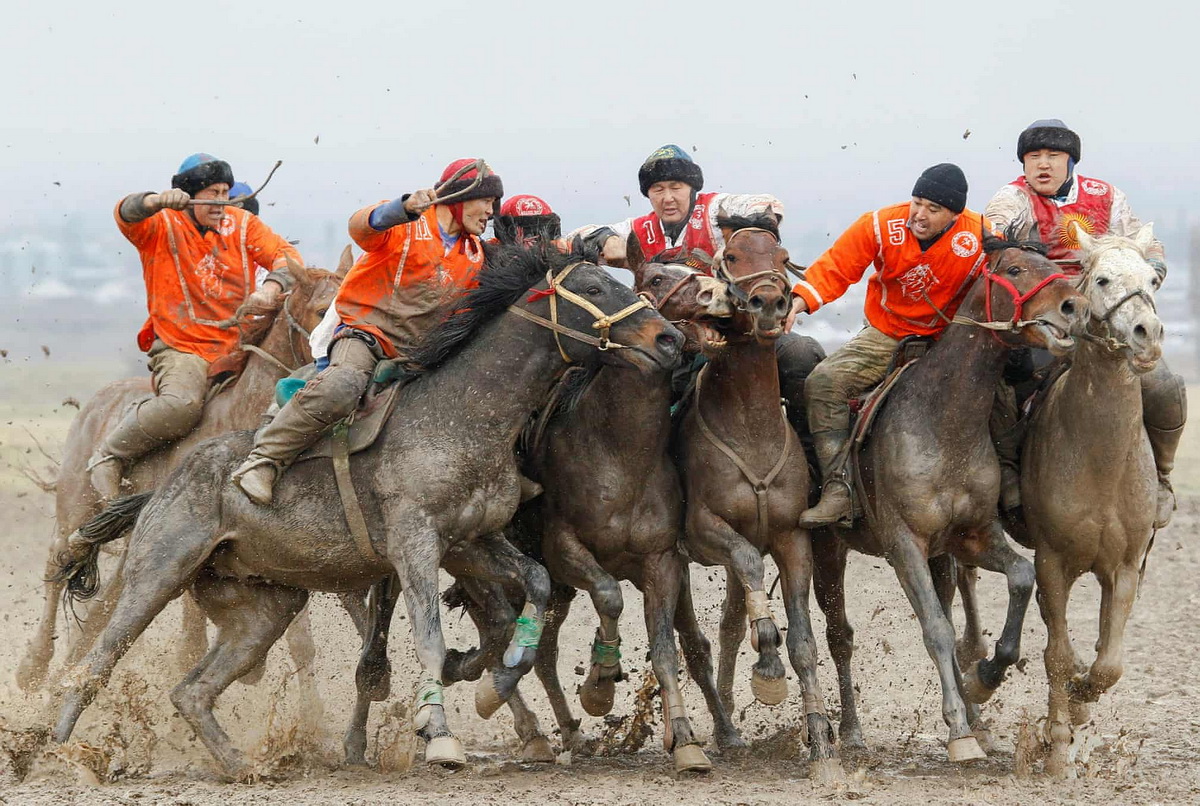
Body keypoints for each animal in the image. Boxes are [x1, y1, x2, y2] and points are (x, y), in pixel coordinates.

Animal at [17, 253, 348, 690]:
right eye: (321, 310)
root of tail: (96, 403)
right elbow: (192, 640)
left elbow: (300, 643)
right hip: (76, 511)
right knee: (59, 565)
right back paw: (33, 667)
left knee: (101, 605)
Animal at [676, 218, 844, 782]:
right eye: (731, 255)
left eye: (781, 254)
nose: (769, 302)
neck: (750, 426)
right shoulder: (706, 530)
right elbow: (753, 576)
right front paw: (767, 664)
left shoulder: (793, 539)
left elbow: (804, 641)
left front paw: (820, 740)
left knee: (729, 624)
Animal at [806, 237, 1089, 762]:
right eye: (1015, 269)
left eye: (1053, 264)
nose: (1074, 307)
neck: (943, 420)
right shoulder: (904, 546)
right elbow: (936, 629)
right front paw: (958, 729)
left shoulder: (969, 536)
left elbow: (1020, 578)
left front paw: (985, 680)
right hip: (827, 549)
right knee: (839, 636)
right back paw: (850, 731)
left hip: (940, 559)